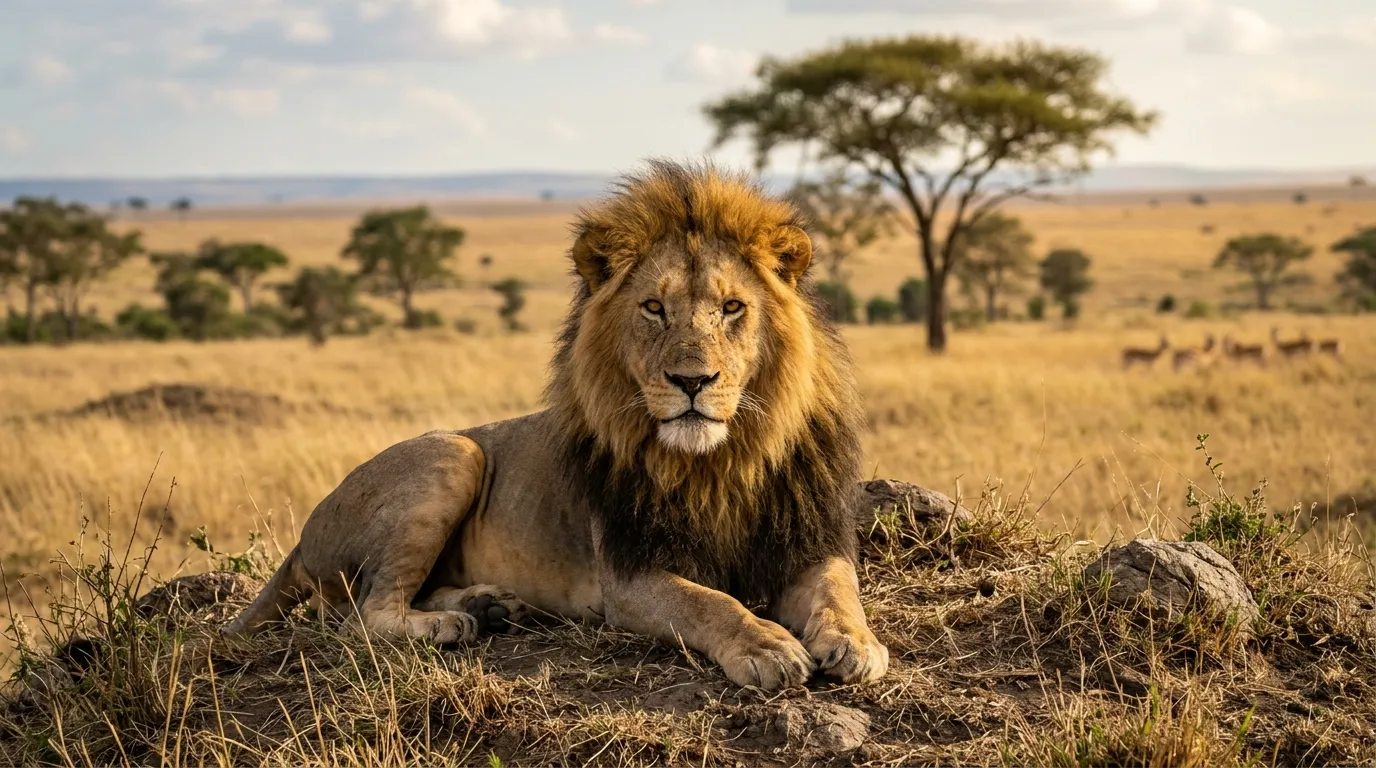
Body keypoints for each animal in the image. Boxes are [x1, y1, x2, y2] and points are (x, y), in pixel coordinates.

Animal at [224, 159, 889, 690]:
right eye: (654, 308)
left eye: (732, 308)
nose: (692, 381)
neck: (721, 461)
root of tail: (304, 536)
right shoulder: (629, 576)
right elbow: (711, 603)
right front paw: (767, 645)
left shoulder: (810, 543)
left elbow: (839, 591)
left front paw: (857, 644)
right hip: (453, 453)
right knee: (365, 615)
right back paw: (451, 623)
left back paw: (489, 604)